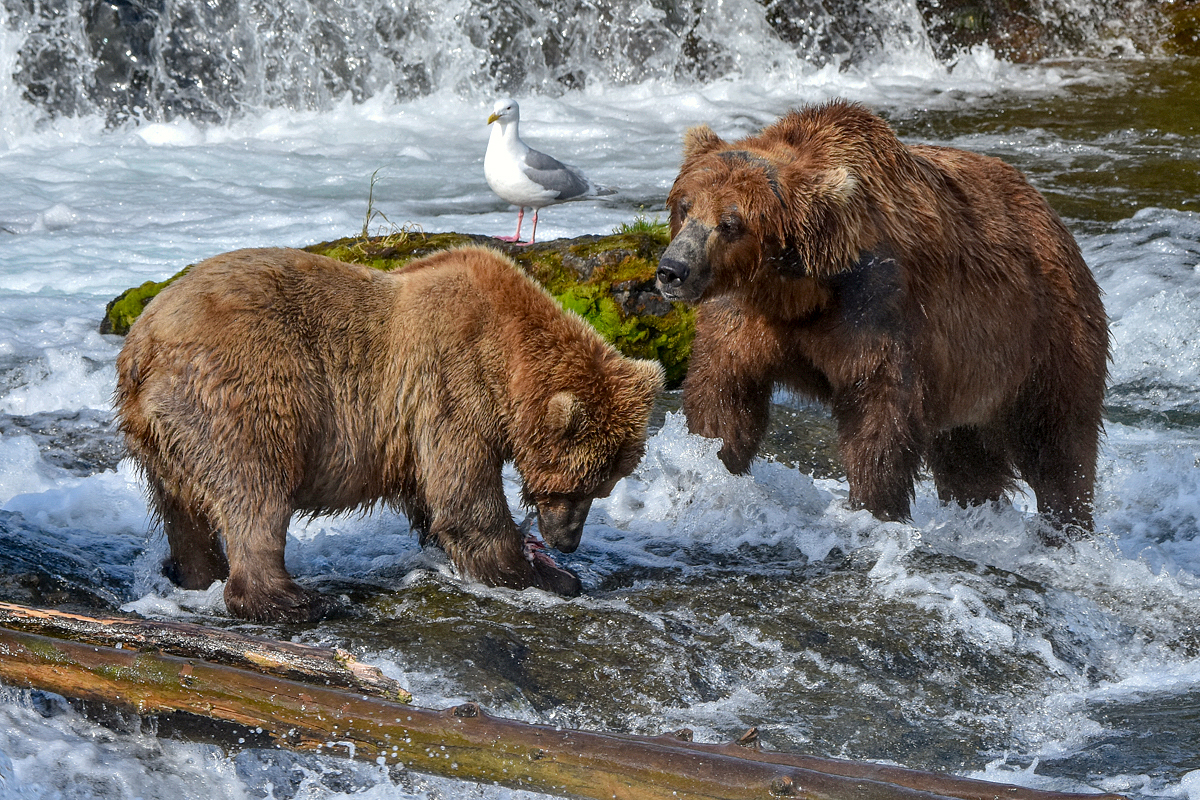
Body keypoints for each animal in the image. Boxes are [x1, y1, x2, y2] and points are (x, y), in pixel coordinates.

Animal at [118, 247, 667, 623]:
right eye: (577, 487)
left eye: (604, 487)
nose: (568, 542)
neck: (507, 358)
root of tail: (142, 342)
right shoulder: (451, 382)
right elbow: (465, 498)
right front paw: (544, 574)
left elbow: (433, 499)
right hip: (242, 394)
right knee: (255, 490)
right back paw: (295, 599)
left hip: (163, 434)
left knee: (184, 509)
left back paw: (198, 576)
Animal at [657, 98, 1104, 537]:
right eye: (685, 206)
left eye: (730, 222)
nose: (672, 270)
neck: (799, 292)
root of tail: (1050, 215)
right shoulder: (744, 316)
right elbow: (724, 395)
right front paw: (705, 467)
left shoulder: (876, 310)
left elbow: (877, 414)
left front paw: (874, 508)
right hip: (968, 375)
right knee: (966, 457)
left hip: (1043, 333)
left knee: (1057, 443)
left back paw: (1067, 524)